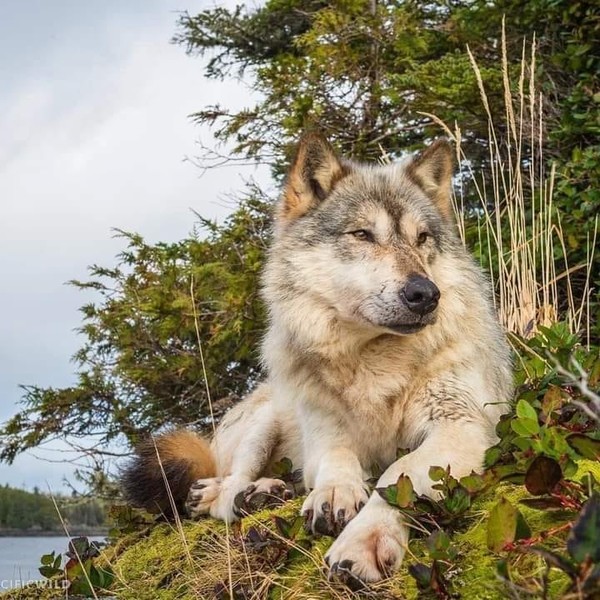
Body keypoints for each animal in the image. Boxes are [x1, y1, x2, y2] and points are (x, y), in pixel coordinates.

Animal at [122, 132, 510, 584]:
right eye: (362, 234)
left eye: (422, 238)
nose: (426, 294)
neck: (373, 358)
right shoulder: (326, 432)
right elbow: (336, 459)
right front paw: (335, 492)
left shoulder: (461, 426)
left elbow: (399, 472)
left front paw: (364, 539)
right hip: (267, 419)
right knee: (230, 484)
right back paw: (232, 495)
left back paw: (265, 493)